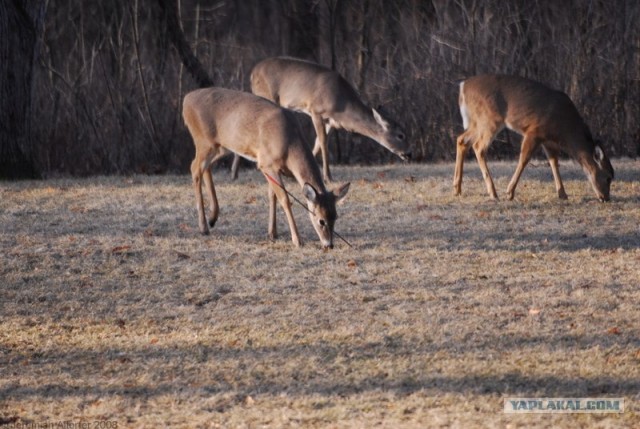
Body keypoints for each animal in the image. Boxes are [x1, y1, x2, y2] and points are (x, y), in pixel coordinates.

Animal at [182, 87, 350, 247]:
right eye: (321, 220)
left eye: (335, 216)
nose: (329, 244)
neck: (290, 143)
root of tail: (185, 101)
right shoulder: (266, 163)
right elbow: (284, 199)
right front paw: (297, 240)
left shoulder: (273, 168)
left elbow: (272, 196)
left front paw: (272, 233)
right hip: (204, 141)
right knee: (194, 168)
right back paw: (203, 227)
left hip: (221, 146)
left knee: (205, 167)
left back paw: (213, 218)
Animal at [245, 55, 410, 181]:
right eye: (400, 135)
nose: (409, 153)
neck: (342, 104)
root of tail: (252, 73)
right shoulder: (316, 111)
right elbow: (323, 143)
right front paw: (328, 177)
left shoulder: (332, 122)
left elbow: (318, 142)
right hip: (266, 95)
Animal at [452, 73, 612, 201]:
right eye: (608, 177)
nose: (605, 198)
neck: (566, 128)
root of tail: (463, 87)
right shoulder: (535, 131)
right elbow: (524, 159)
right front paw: (510, 192)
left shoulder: (548, 140)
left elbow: (554, 162)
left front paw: (562, 194)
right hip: (490, 119)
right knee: (478, 147)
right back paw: (493, 192)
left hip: (477, 121)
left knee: (462, 140)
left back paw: (457, 189)